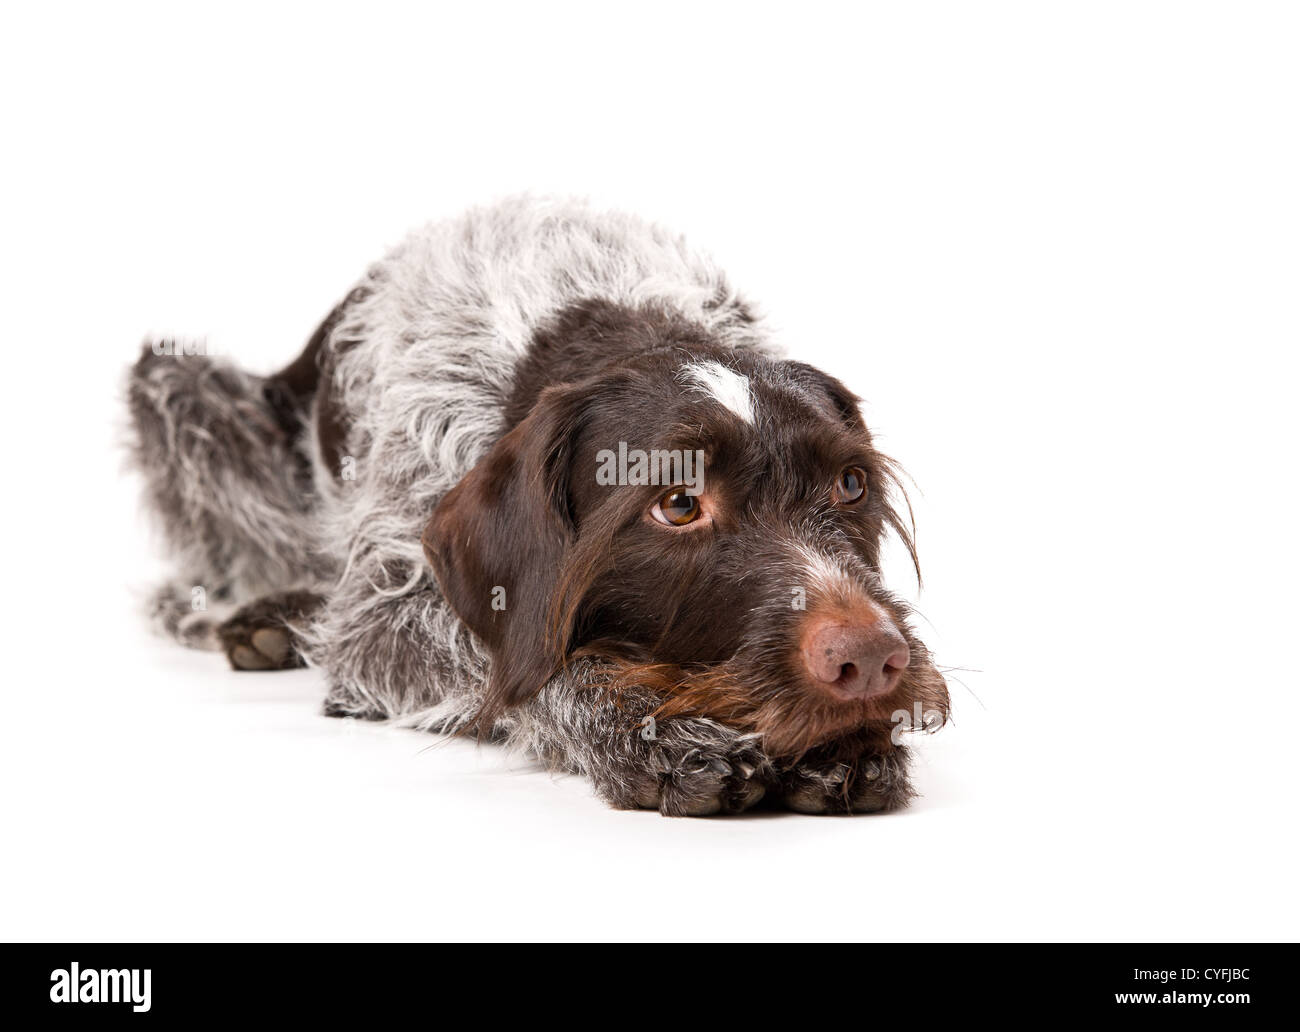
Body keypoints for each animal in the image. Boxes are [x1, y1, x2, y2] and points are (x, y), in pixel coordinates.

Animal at [129, 197, 946, 816]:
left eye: (850, 485)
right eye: (680, 504)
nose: (870, 659)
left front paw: (847, 742)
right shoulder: (385, 623)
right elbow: (527, 666)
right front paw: (654, 734)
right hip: (173, 380)